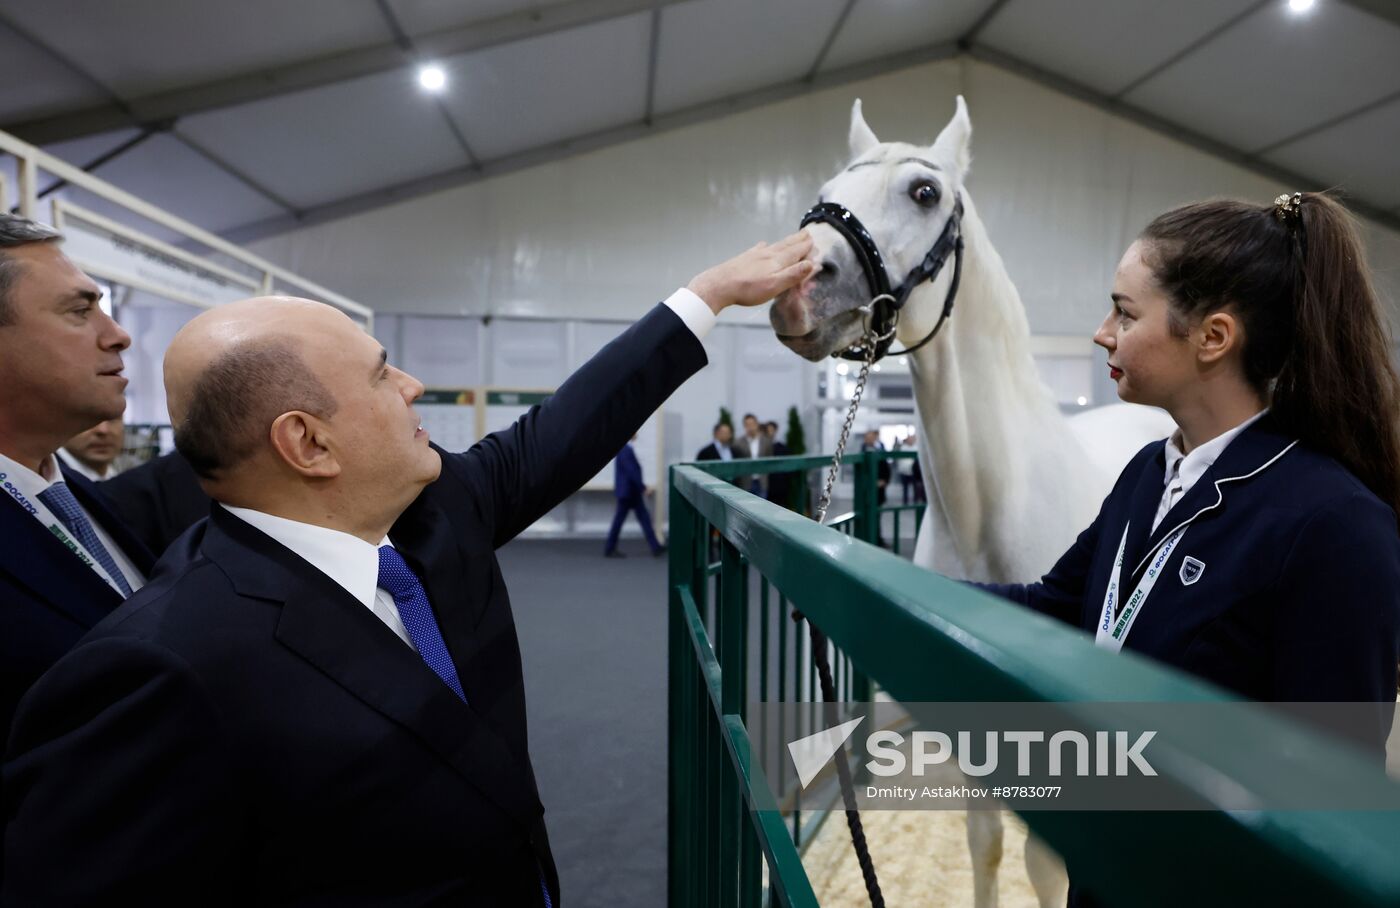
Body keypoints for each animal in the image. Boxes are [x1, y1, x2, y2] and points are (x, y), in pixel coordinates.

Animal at [772, 95, 1176, 901]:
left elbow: (1044, 869)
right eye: (830, 185)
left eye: (925, 192)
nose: (797, 288)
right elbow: (984, 845)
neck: (990, 511)